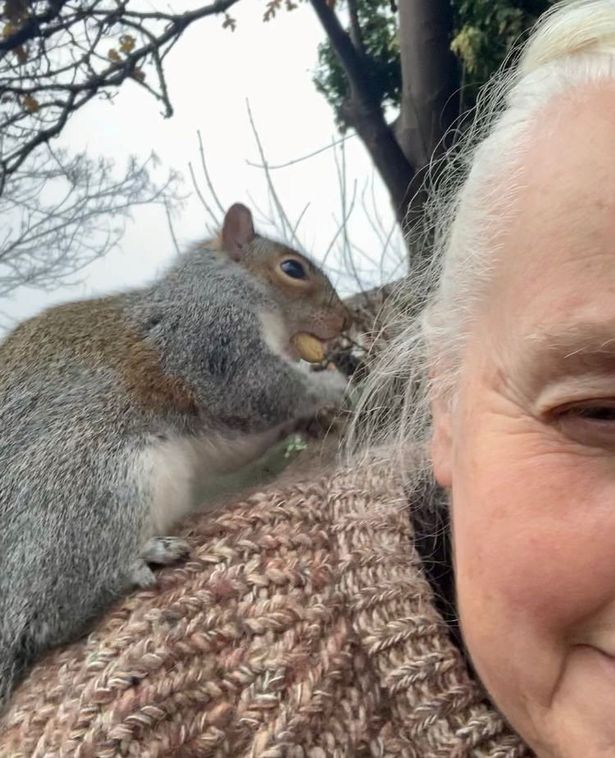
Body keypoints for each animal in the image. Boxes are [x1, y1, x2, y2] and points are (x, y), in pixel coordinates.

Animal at [0, 203, 352, 712]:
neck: (223, 283)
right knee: (55, 608)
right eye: (292, 268)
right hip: (94, 480)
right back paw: (139, 558)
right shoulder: (211, 340)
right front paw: (334, 385)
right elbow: (264, 389)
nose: (344, 322)